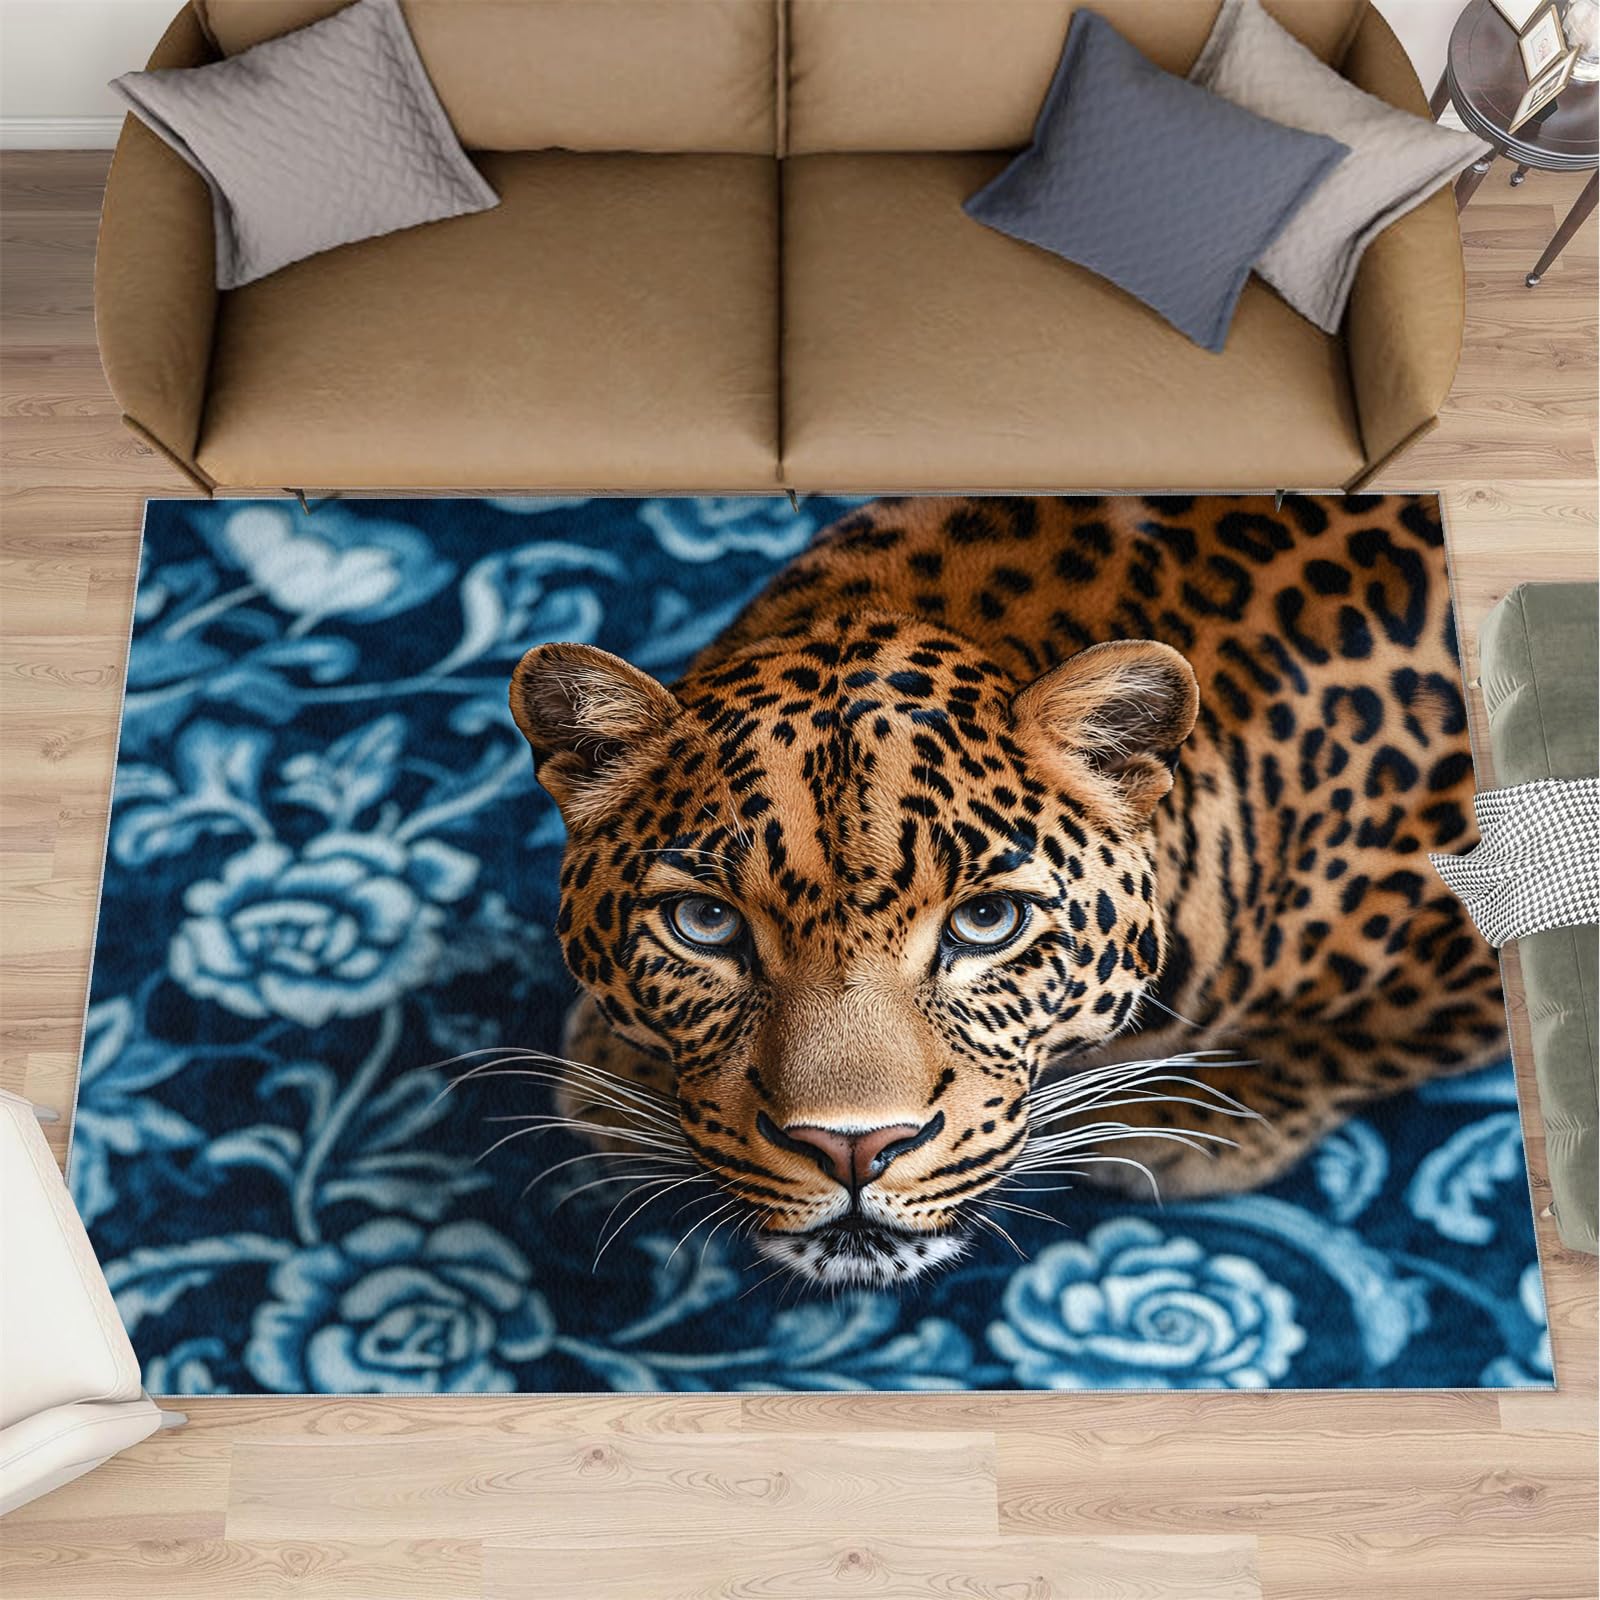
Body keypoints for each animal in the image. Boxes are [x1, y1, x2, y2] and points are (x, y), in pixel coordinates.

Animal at [508, 495, 1505, 1288]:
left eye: (987, 921)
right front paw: (616, 1072)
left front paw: (1181, 1122)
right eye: (705, 922)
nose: (851, 1147)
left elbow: (1359, 1043)